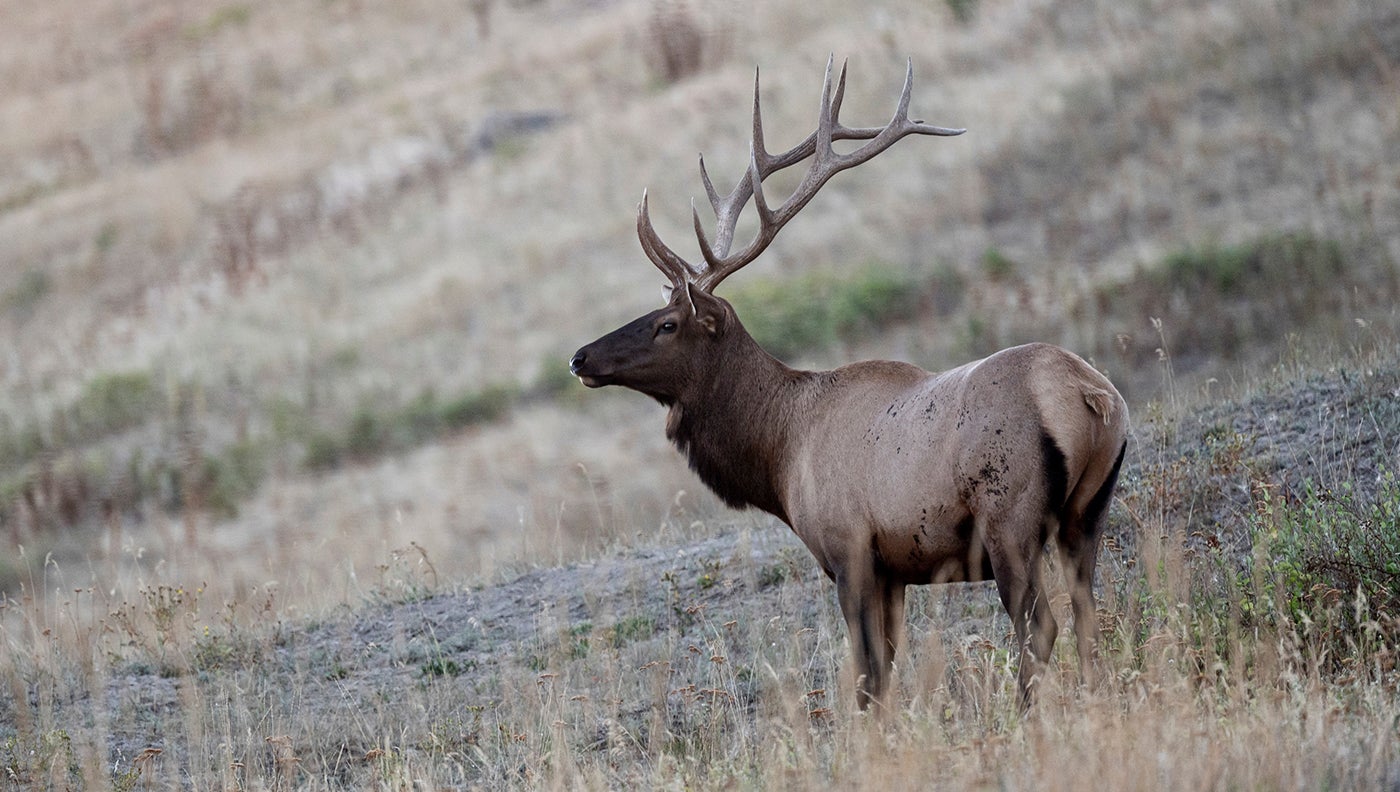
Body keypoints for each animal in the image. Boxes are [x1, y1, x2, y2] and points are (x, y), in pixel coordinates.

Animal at [569, 57, 1129, 711]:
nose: (580, 357)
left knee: (1039, 625)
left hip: (1008, 517)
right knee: (1089, 614)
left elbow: (867, 674)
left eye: (667, 324)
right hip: (1088, 513)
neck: (779, 453)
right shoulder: (894, 569)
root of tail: (1092, 398)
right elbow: (886, 667)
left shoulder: (850, 549)